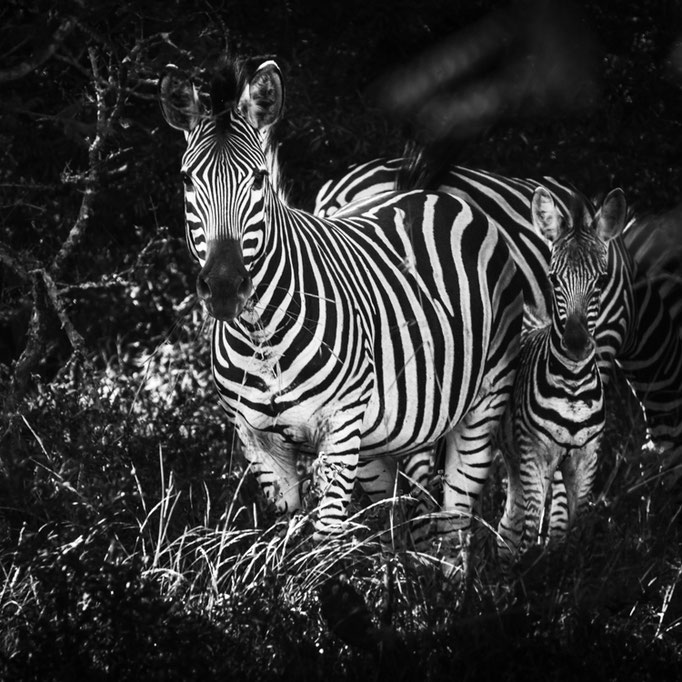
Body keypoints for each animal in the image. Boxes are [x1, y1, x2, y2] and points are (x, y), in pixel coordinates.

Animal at [158, 55, 520, 548]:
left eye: (258, 179)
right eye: (186, 179)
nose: (226, 286)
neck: (259, 337)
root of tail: (425, 192)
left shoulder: (340, 429)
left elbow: (325, 542)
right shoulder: (258, 444)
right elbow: (285, 544)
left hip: (481, 402)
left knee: (451, 522)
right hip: (389, 437)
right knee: (406, 520)